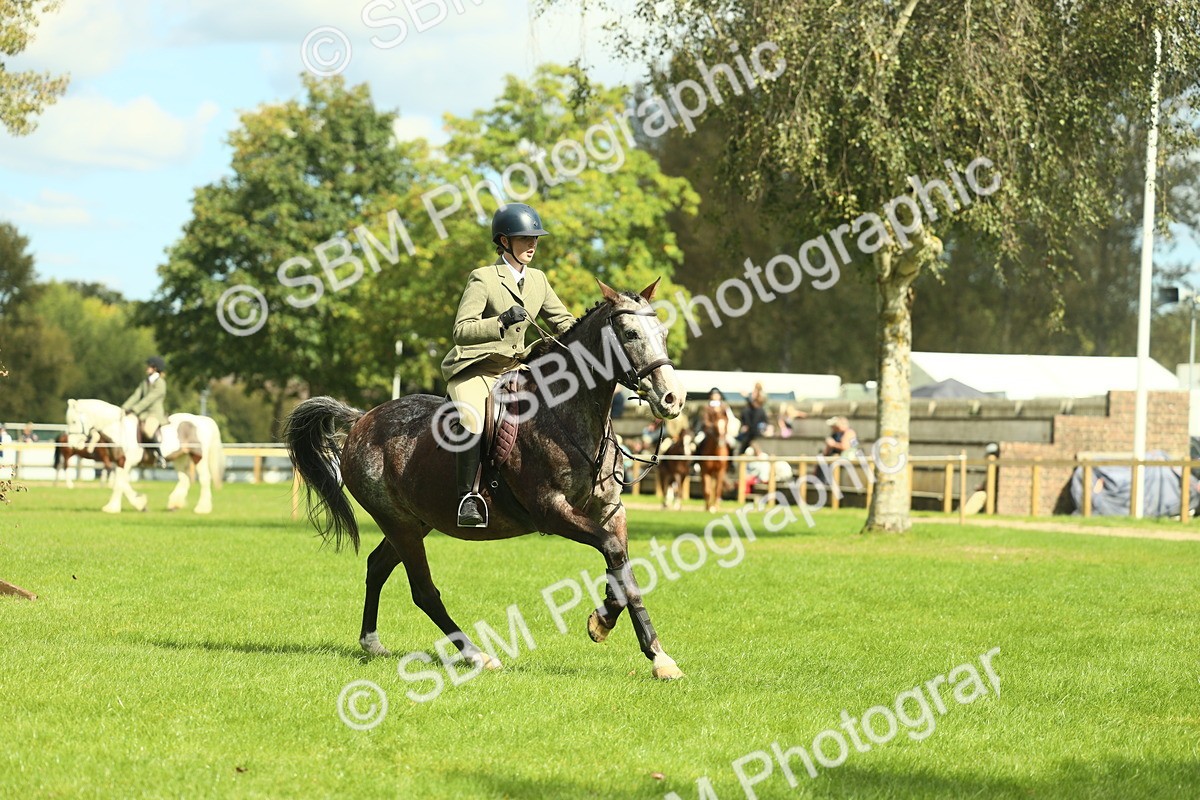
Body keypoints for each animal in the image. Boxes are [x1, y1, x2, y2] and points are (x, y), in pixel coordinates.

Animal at [64, 399, 225, 514]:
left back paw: (202, 508)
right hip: (180, 457)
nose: (72, 444)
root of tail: (201, 419)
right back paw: (174, 504)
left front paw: (112, 508)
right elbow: (122, 483)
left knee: (204, 479)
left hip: (198, 457)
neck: (119, 429)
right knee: (184, 479)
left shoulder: (125, 461)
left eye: (74, 421)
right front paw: (140, 504)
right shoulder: (119, 462)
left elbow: (119, 483)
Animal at [285, 280, 689, 680]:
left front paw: (647, 649)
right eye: (630, 333)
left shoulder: (610, 510)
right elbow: (613, 551)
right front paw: (610, 628)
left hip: (415, 522)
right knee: (423, 591)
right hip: (399, 524)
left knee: (377, 566)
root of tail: (361, 419)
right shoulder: (552, 511)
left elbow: (623, 570)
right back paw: (477, 655)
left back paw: (372, 643)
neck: (564, 415)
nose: (673, 399)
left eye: (663, 333)